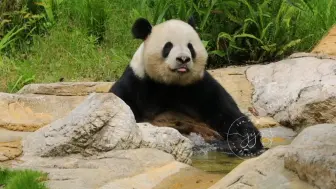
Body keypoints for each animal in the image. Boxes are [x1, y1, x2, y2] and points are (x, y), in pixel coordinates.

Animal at [110, 17, 266, 157]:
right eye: (168, 46)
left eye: (190, 47)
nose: (183, 59)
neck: (170, 84)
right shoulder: (136, 82)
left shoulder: (201, 86)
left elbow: (229, 115)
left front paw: (243, 143)